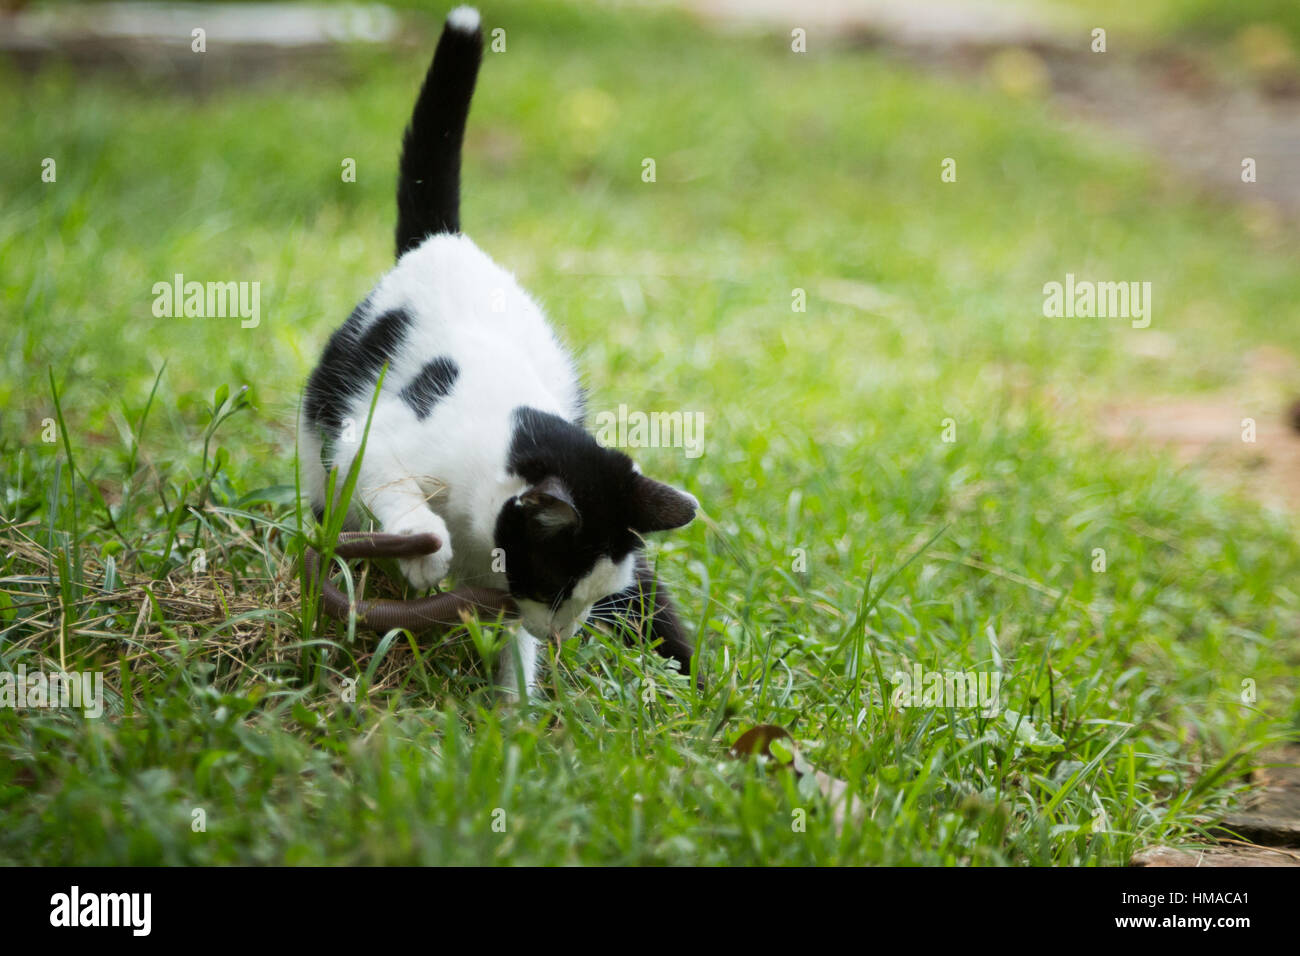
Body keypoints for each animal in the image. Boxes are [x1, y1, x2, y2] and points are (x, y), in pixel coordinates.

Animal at [299, 5, 702, 697]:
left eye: (591, 598)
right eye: (554, 586)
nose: (563, 634)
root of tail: (443, 240)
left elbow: (514, 647)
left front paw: (515, 709)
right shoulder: (377, 438)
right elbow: (387, 480)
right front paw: (423, 550)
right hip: (324, 415)